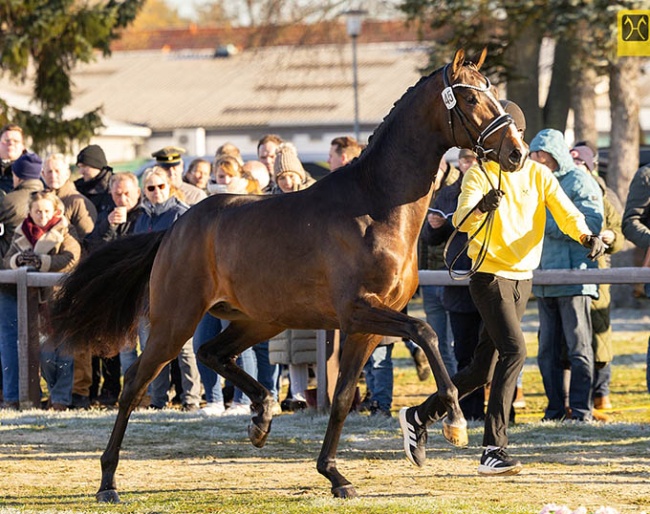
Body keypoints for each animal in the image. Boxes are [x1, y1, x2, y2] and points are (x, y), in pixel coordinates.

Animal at [50, 48, 527, 502]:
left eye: (492, 92)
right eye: (471, 98)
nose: (517, 153)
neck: (375, 207)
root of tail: (174, 227)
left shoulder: (366, 327)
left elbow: (342, 399)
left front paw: (335, 475)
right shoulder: (359, 312)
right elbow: (426, 333)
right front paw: (454, 421)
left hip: (260, 320)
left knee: (211, 353)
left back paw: (262, 415)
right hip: (176, 320)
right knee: (135, 383)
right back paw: (108, 481)